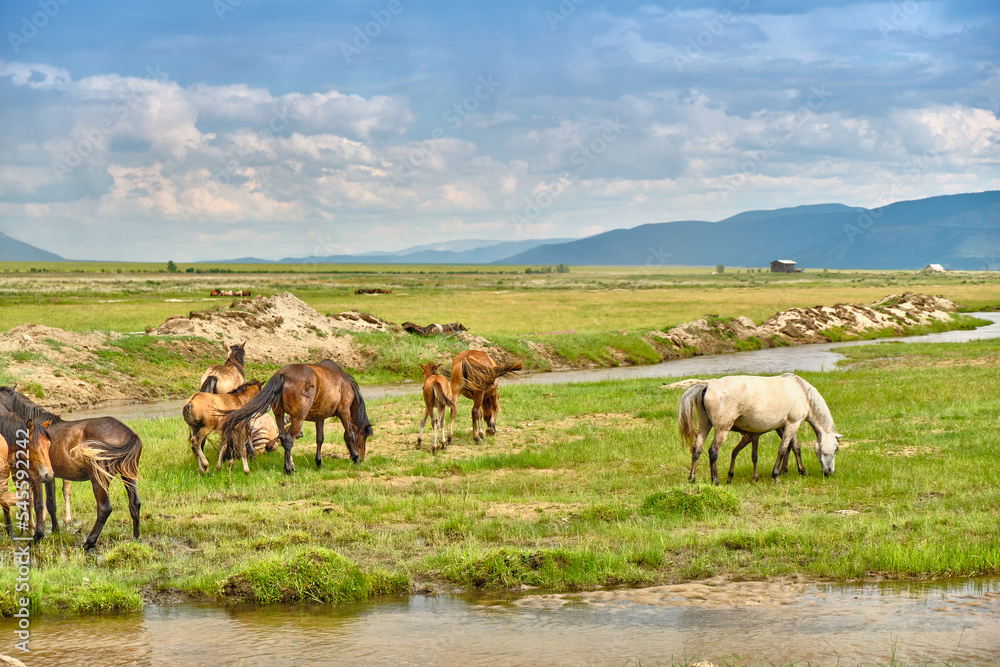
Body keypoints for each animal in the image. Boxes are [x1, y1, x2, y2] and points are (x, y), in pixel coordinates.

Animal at [219, 360, 372, 474]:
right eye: (364, 437)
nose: (363, 458)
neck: (342, 381)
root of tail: (283, 374)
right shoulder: (344, 411)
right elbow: (350, 434)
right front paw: (355, 458)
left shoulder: (320, 417)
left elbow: (320, 438)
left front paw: (319, 462)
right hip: (298, 418)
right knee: (288, 440)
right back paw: (289, 469)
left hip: (279, 415)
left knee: (282, 437)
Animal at [676, 370, 840, 486]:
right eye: (836, 449)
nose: (830, 472)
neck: (802, 392)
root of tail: (708, 385)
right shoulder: (793, 424)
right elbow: (782, 449)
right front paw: (776, 476)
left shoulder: (787, 425)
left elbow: (794, 447)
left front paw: (800, 471)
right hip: (722, 429)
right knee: (713, 451)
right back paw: (715, 481)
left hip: (705, 425)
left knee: (697, 449)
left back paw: (692, 479)